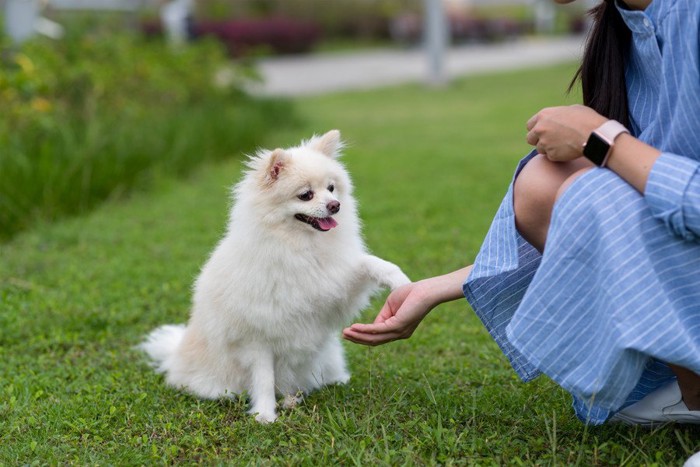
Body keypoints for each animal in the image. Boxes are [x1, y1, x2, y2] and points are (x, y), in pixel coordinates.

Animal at [142, 131, 410, 424]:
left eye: (331, 188)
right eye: (305, 195)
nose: (335, 205)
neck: (300, 247)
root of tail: (175, 354)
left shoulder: (334, 285)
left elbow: (368, 263)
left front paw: (400, 281)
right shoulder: (257, 337)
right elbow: (263, 378)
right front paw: (265, 414)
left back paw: (322, 385)